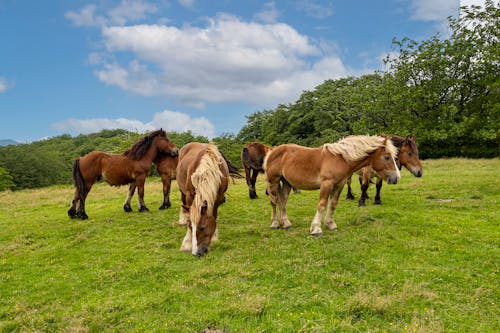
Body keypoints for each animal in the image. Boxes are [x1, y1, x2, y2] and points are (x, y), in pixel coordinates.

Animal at [264, 134, 400, 235]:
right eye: (387, 157)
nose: (396, 178)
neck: (341, 158)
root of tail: (272, 152)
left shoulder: (339, 185)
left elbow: (333, 204)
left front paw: (330, 224)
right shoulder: (327, 184)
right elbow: (322, 204)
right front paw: (316, 228)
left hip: (287, 183)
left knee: (282, 201)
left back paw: (286, 224)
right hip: (273, 181)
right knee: (274, 201)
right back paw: (275, 223)